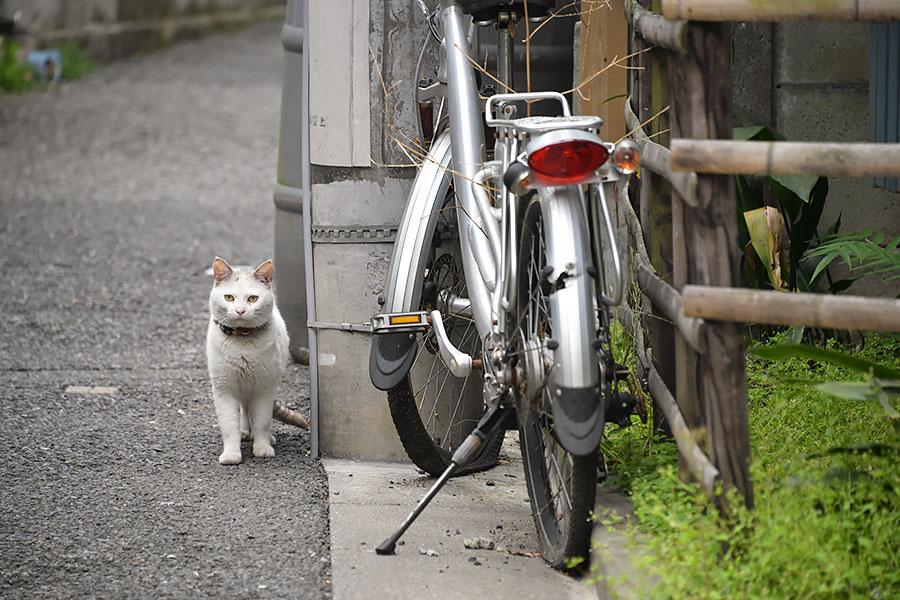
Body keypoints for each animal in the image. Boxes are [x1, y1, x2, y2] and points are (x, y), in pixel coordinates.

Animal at [206, 258, 290, 464]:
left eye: (253, 299)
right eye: (229, 297)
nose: (240, 311)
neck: (242, 342)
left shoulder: (264, 389)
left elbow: (262, 422)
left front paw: (262, 447)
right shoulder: (224, 389)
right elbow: (229, 426)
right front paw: (231, 454)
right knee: (243, 410)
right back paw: (244, 431)